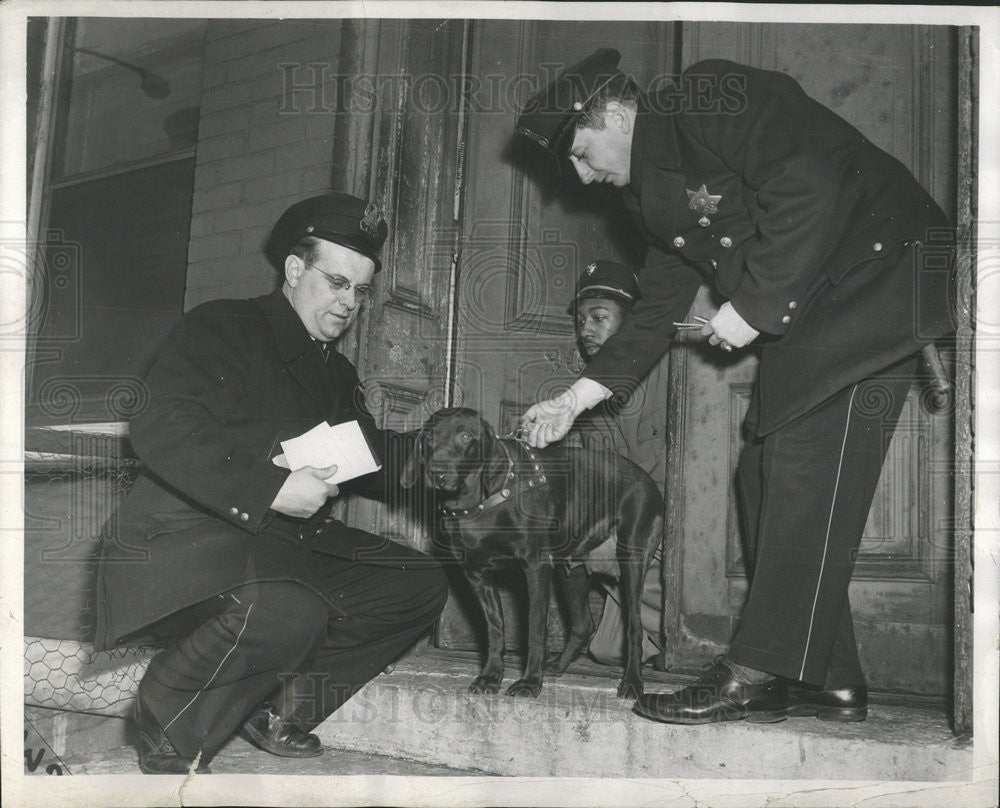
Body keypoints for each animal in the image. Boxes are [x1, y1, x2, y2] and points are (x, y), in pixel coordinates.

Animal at [398, 408, 664, 696]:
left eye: (465, 436)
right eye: (428, 438)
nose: (437, 473)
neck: (479, 503)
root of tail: (647, 479)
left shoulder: (535, 568)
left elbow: (535, 629)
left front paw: (530, 681)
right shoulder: (477, 576)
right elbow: (495, 630)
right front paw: (491, 676)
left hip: (631, 563)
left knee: (635, 627)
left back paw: (632, 681)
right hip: (571, 572)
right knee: (583, 625)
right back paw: (558, 665)